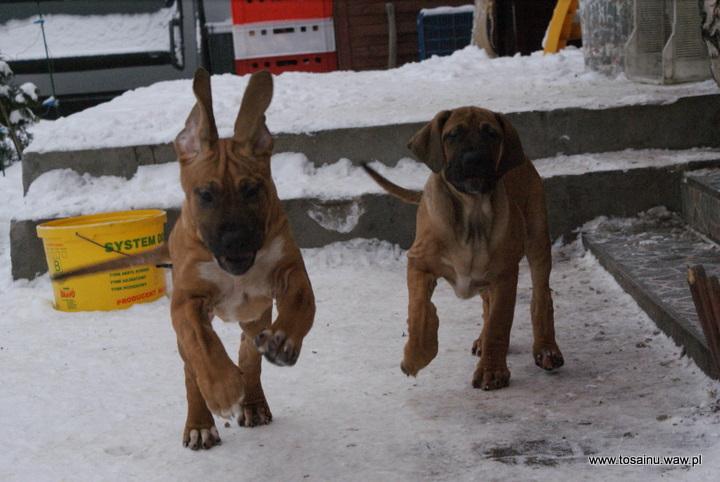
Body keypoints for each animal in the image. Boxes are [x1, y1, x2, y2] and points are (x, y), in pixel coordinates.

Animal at [366, 107, 564, 390]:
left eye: (491, 134)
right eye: (453, 135)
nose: (474, 159)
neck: (472, 213)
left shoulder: (505, 276)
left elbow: (499, 324)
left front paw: (492, 372)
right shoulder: (418, 263)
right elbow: (418, 311)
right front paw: (416, 356)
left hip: (537, 237)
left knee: (541, 296)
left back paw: (547, 350)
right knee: (488, 303)